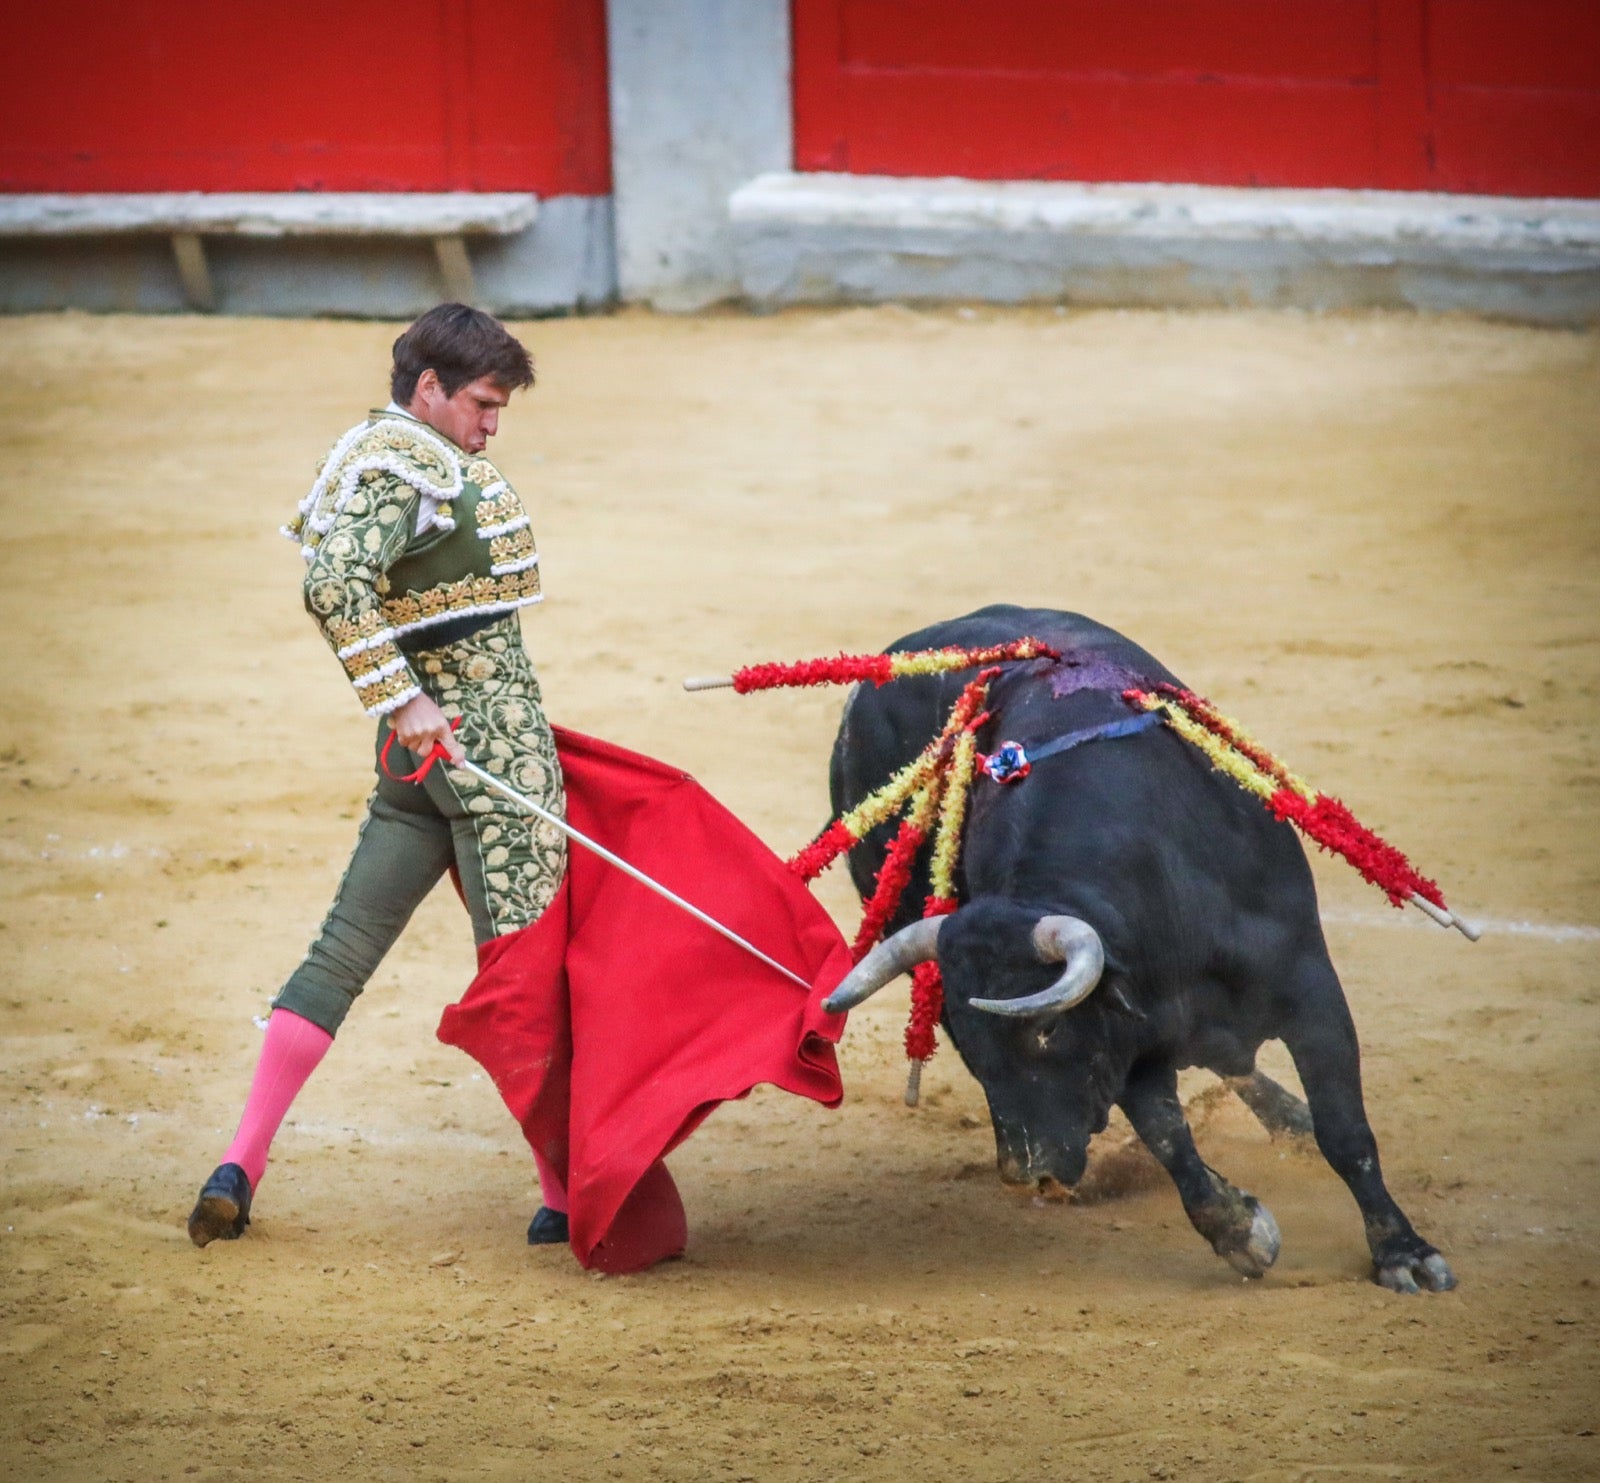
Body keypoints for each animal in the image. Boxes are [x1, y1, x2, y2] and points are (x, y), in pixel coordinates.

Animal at [832, 607, 1459, 1292]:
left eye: (1047, 1031)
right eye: (970, 1046)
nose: (1031, 1174)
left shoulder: (1310, 987)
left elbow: (1346, 1131)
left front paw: (1404, 1253)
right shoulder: (1128, 1034)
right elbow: (1167, 1136)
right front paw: (1240, 1232)